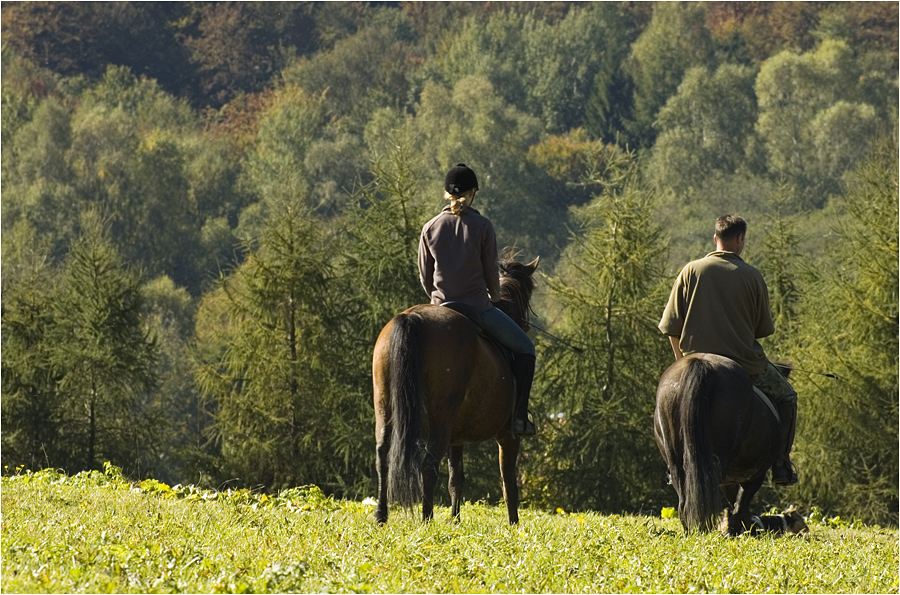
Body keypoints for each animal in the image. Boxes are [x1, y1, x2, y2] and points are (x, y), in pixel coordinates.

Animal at [374, 256, 540, 528]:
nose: (524, 326)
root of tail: (413, 317)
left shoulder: (457, 438)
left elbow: (456, 478)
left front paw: (455, 519)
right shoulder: (508, 435)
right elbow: (508, 482)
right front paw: (514, 524)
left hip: (385, 407)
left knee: (383, 456)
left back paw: (381, 515)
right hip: (440, 419)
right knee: (428, 466)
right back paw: (426, 519)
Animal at [652, 354, 788, 536]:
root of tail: (701, 363)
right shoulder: (756, 474)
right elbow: (740, 502)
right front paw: (739, 529)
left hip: (675, 458)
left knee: (684, 496)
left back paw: (691, 528)